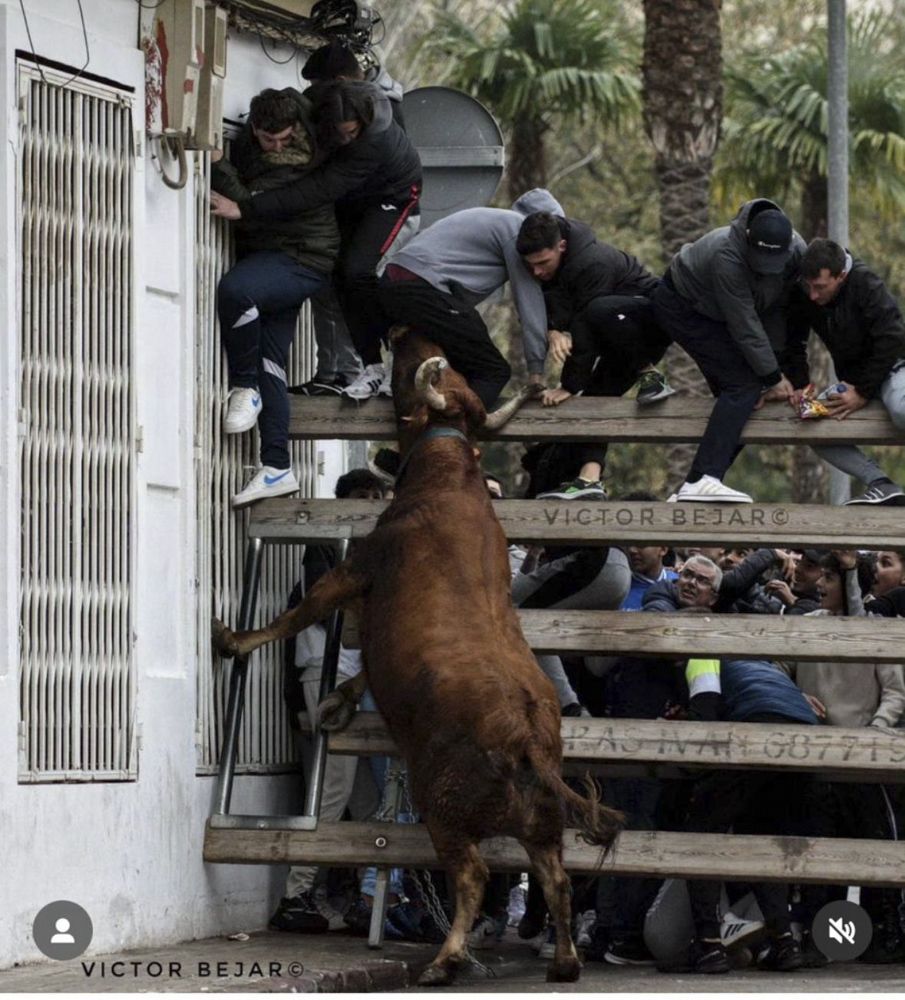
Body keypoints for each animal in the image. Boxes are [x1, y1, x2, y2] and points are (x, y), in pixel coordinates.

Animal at [212, 330, 620, 984]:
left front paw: (233, 640)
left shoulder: (357, 569)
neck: (449, 474)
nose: (404, 335)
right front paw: (336, 700)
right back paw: (564, 961)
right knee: (556, 876)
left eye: (408, 377)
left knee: (473, 875)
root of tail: (529, 737)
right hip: (541, 825)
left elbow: (297, 617)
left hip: (442, 806)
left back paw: (446, 959)